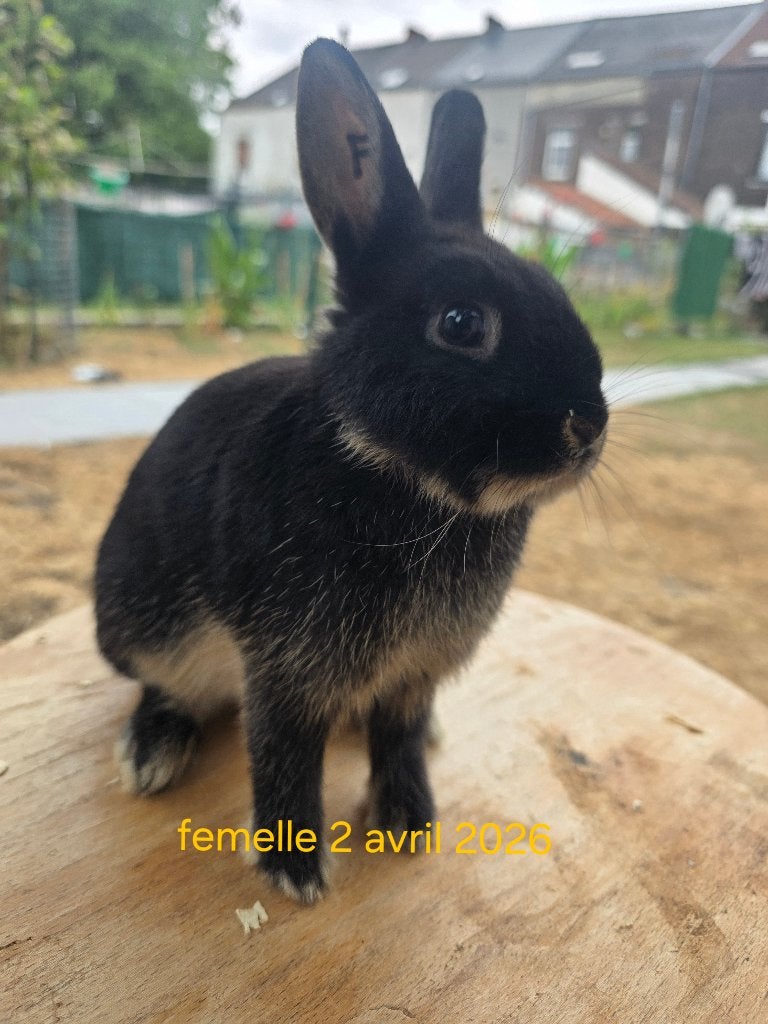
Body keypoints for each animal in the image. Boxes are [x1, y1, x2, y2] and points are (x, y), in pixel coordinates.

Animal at [95, 38, 607, 904]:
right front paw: (295, 871)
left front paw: (408, 822)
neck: (402, 482)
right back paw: (151, 753)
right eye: (461, 323)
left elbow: (397, 736)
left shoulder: (413, 676)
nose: (589, 427)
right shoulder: (286, 672)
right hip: (145, 627)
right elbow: (284, 758)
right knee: (161, 687)